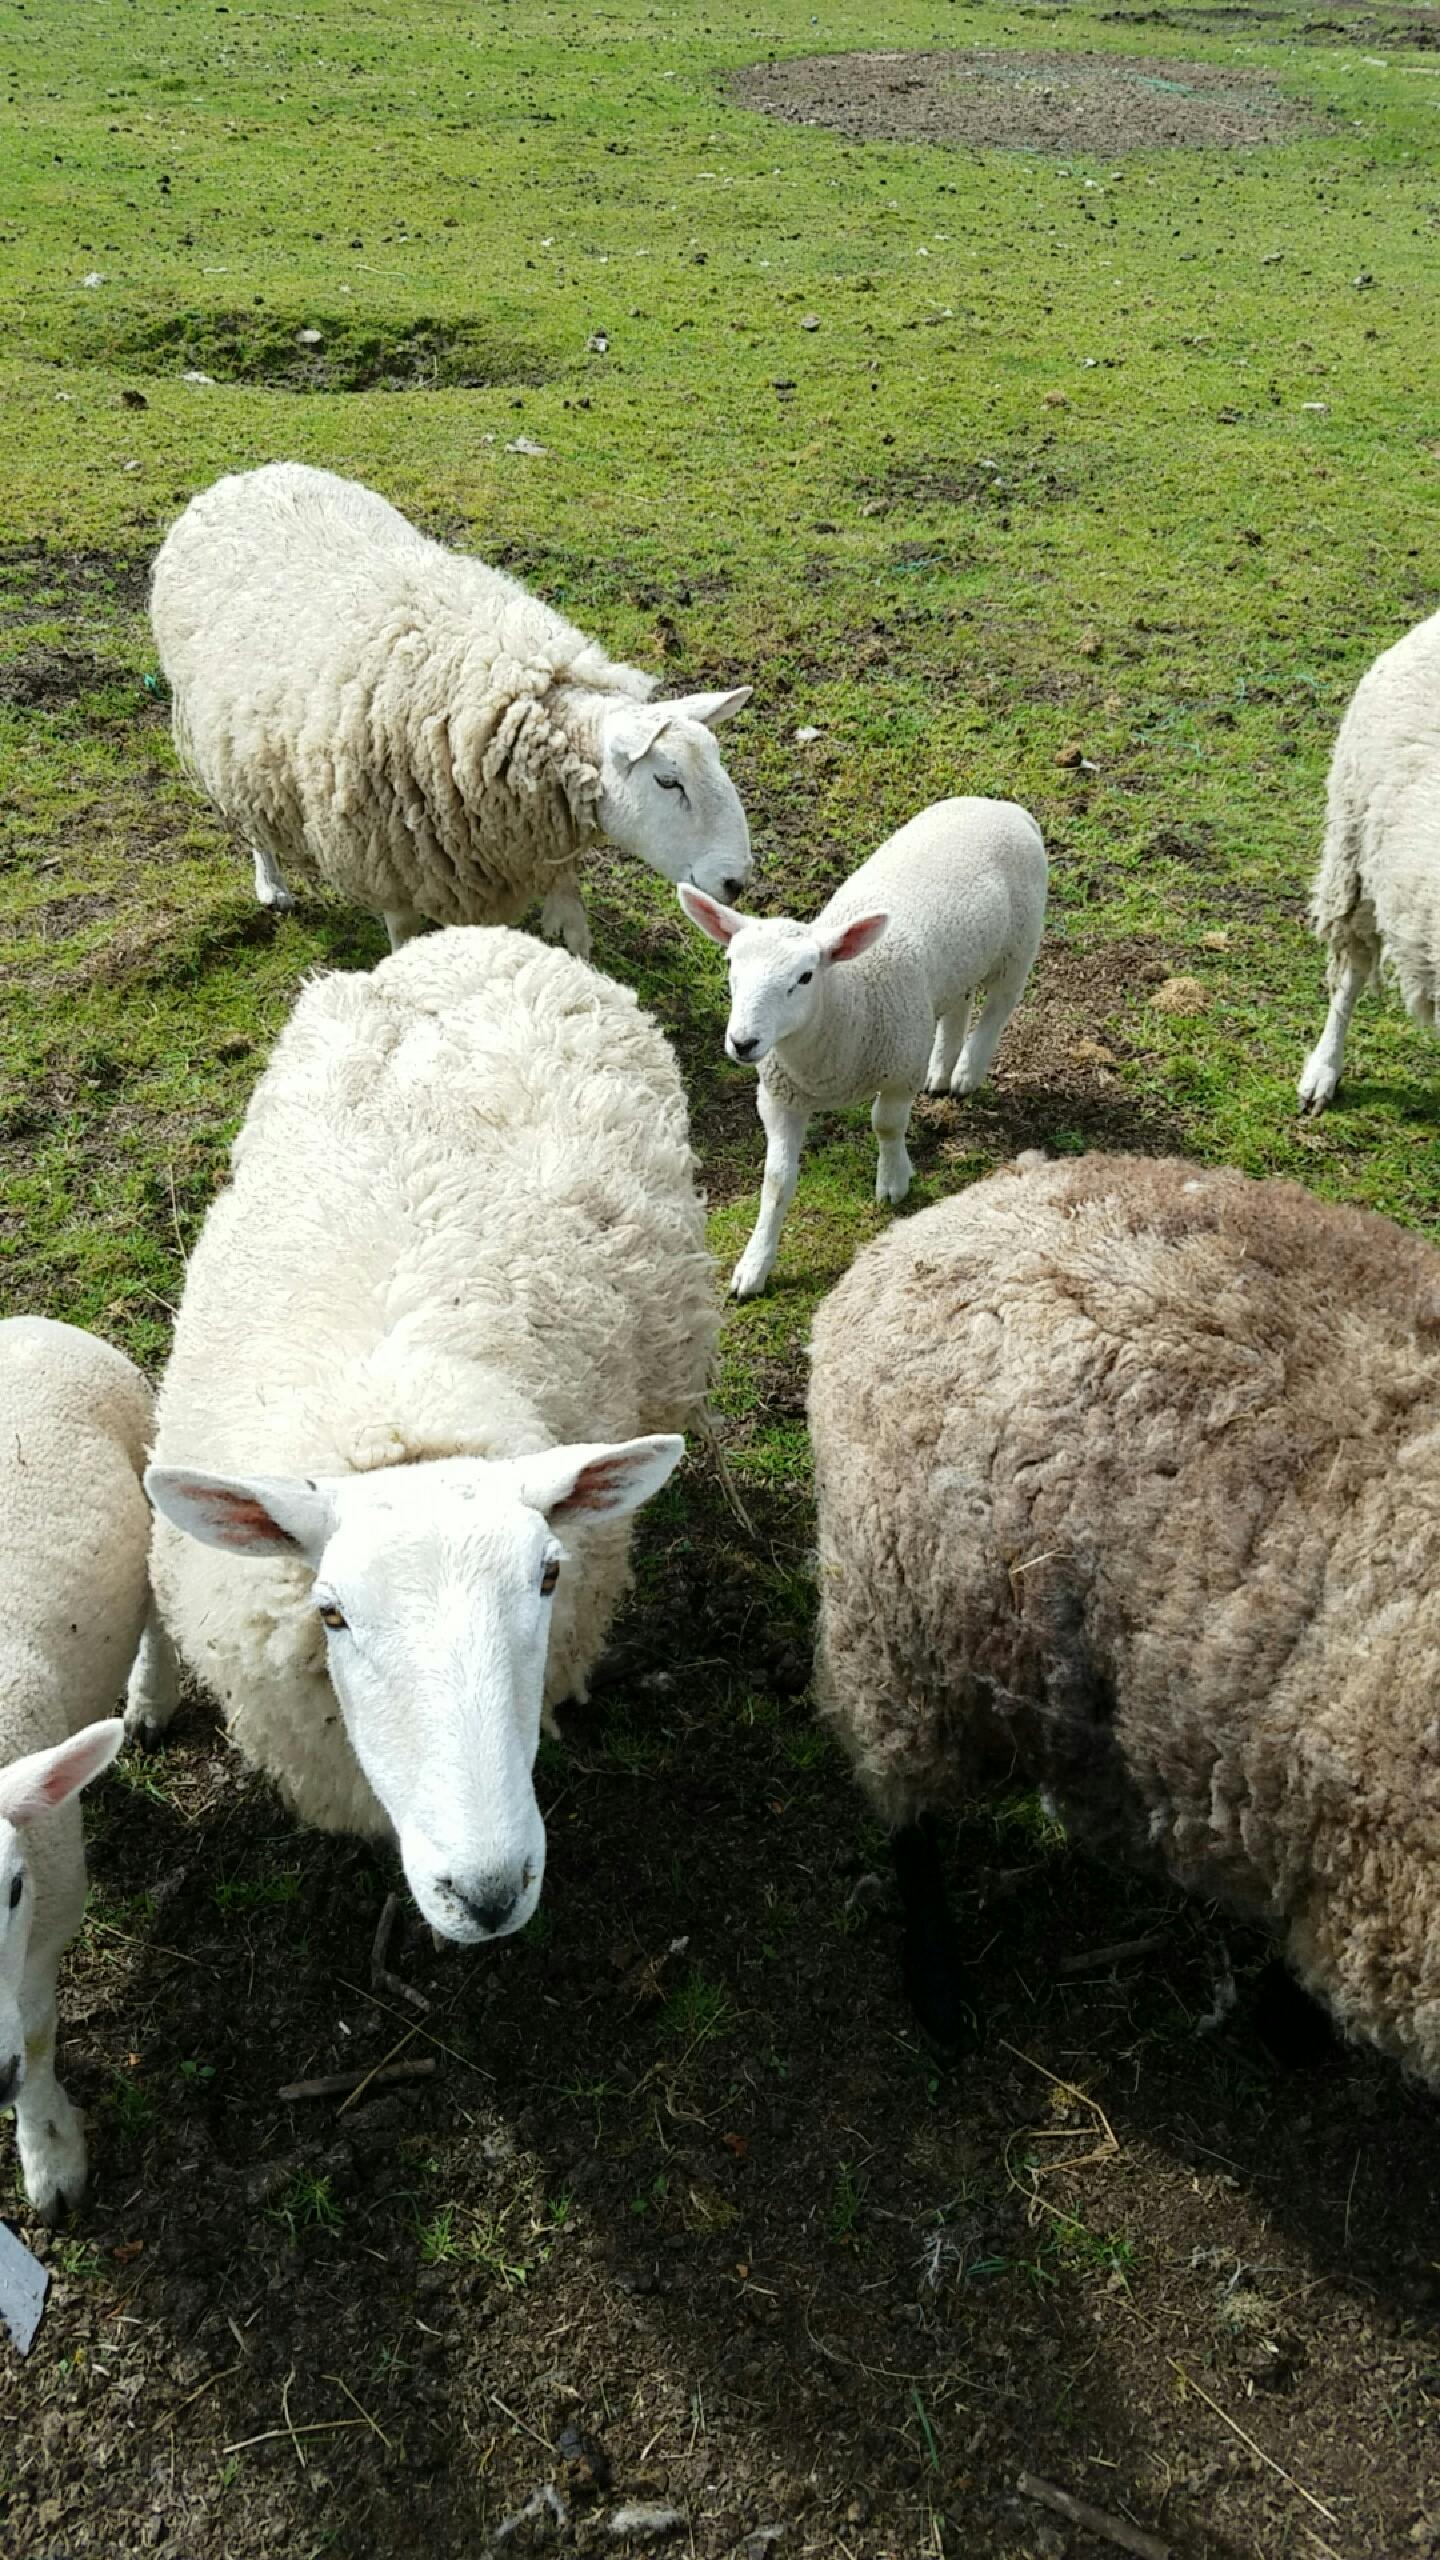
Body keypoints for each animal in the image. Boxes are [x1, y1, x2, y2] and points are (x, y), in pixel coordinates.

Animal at [150, 461, 755, 958]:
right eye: (668, 781)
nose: (737, 883)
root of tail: (245, 476)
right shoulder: (387, 855)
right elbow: (404, 935)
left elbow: (573, 927)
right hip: (218, 732)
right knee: (251, 821)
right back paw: (272, 884)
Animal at [679, 796, 1046, 1298]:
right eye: (730, 963)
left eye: (804, 977)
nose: (743, 1042)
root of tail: (1001, 805)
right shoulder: (778, 1096)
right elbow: (776, 1180)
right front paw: (754, 1266)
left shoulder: (899, 1070)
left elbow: (886, 1126)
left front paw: (893, 1181)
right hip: (957, 968)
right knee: (958, 1003)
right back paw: (942, 1070)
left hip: (1018, 946)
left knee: (998, 1007)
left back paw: (967, 1072)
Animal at [809, 1149, 1440, 2083]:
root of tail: (922, 1233)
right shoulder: (1371, 1880)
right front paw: (1285, 2029)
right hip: (889, 1620)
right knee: (907, 1811)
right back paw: (939, 1990)